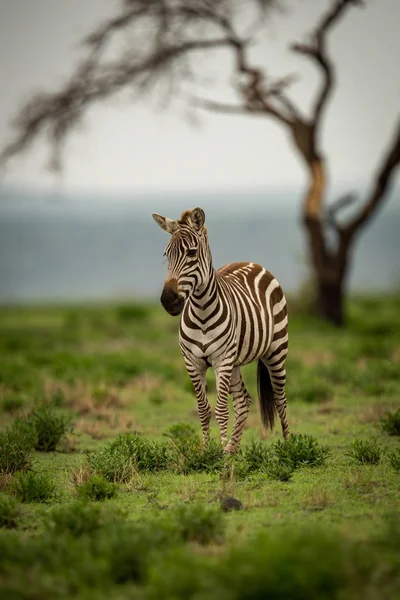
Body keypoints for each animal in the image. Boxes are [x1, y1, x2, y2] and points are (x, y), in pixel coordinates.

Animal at [152, 205, 290, 450]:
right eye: (167, 255)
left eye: (191, 253)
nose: (169, 300)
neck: (201, 312)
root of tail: (252, 263)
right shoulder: (193, 363)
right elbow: (203, 410)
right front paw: (207, 450)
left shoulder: (221, 360)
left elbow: (222, 410)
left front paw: (218, 453)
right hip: (235, 362)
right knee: (244, 401)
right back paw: (232, 449)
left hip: (276, 350)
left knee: (280, 398)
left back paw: (290, 446)